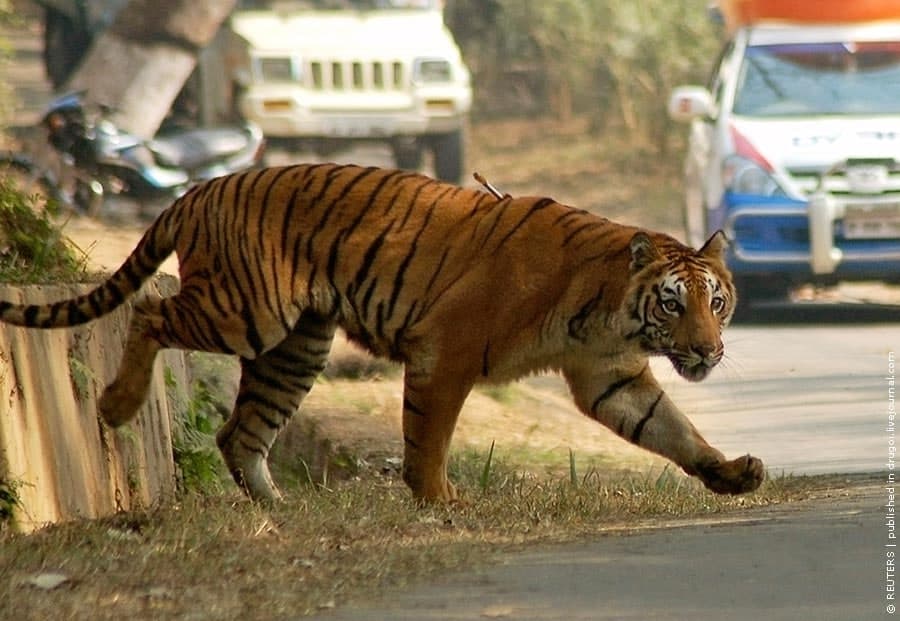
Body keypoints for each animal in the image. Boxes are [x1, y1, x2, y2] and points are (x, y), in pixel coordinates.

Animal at [0, 162, 768, 502]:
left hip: (295, 345)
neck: (610, 309)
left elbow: (673, 430)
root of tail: (199, 188)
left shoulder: (610, 375)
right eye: (673, 305)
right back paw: (115, 405)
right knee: (149, 313)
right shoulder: (447, 352)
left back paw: (282, 512)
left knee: (239, 433)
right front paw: (439, 500)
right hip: (247, 312)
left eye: (716, 302)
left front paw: (730, 472)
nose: (708, 349)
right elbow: (428, 436)